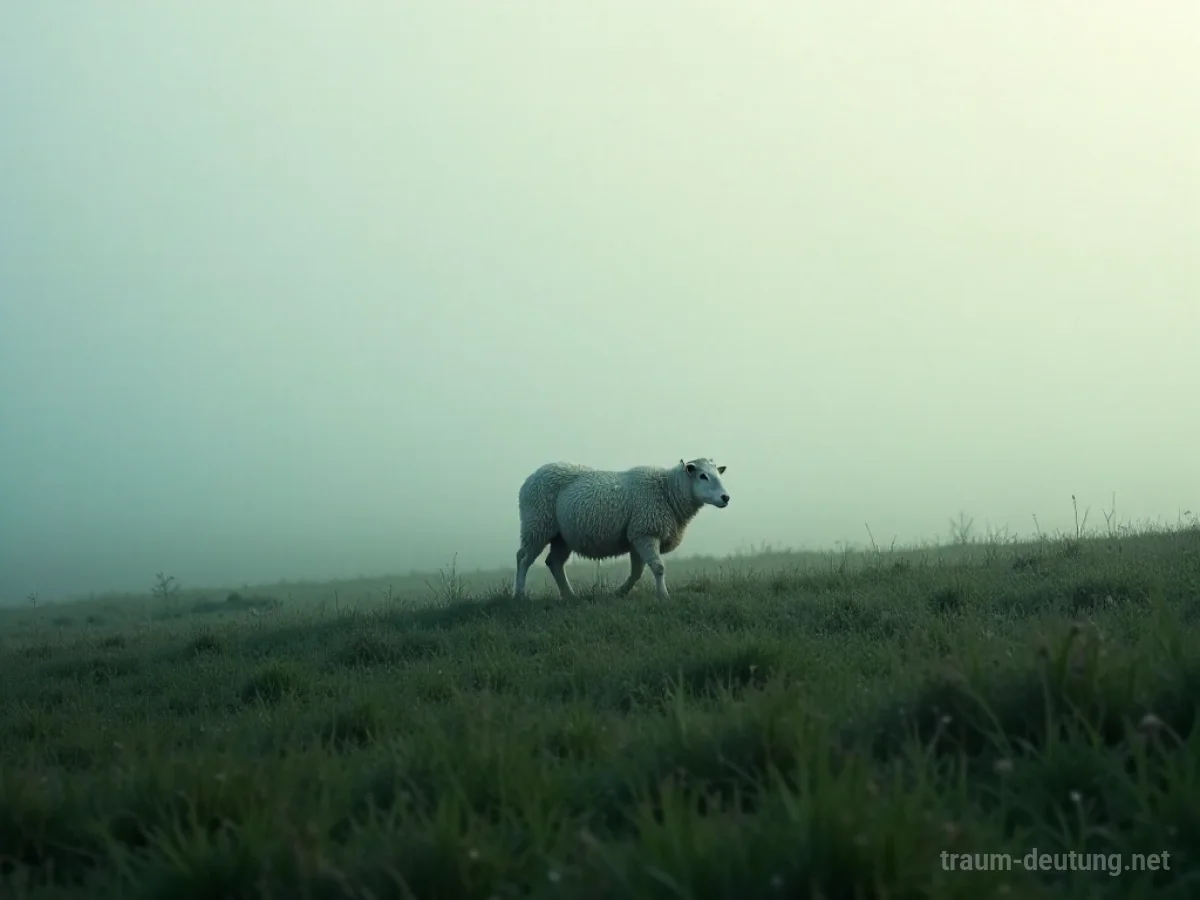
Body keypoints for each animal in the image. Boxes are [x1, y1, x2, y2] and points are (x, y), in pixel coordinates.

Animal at [512, 457, 731, 602]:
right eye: (703, 476)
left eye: (718, 474)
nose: (725, 497)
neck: (668, 491)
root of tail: (529, 479)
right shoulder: (646, 533)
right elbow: (658, 567)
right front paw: (664, 596)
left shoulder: (637, 537)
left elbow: (637, 572)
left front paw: (620, 593)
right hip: (537, 524)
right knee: (523, 558)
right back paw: (520, 595)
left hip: (562, 536)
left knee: (554, 563)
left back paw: (569, 596)